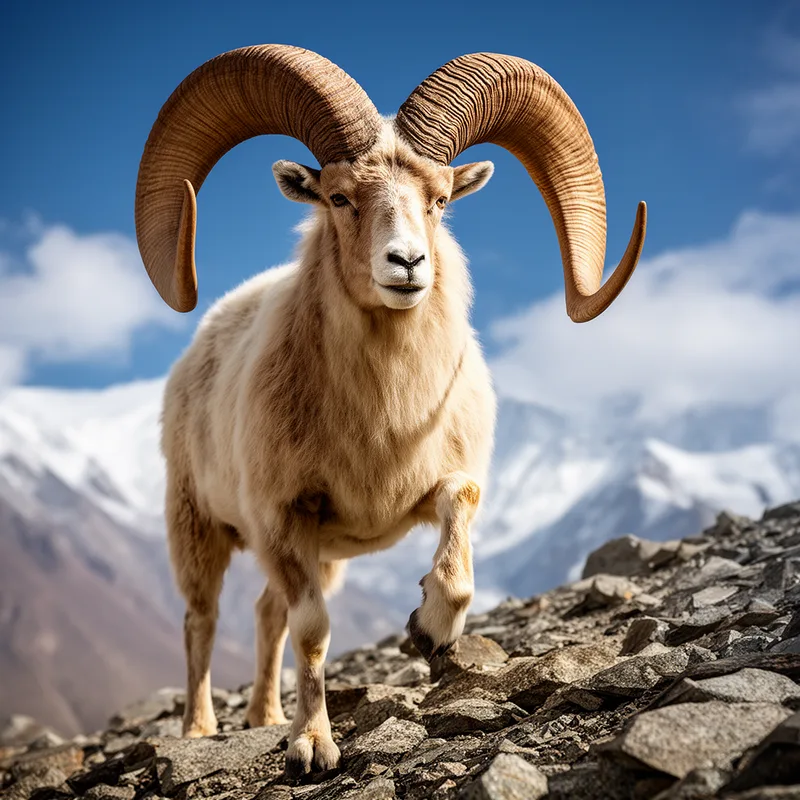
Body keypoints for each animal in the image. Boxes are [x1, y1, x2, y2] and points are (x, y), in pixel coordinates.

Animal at [135, 45, 647, 776]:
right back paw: (203, 731)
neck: (381, 421)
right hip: (200, 527)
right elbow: (314, 631)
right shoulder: (286, 519)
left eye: (440, 200)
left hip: (308, 552)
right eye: (339, 197)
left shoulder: (423, 491)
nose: (406, 263)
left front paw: (428, 629)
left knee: (264, 613)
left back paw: (264, 718)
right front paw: (313, 748)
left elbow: (456, 540)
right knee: (201, 621)